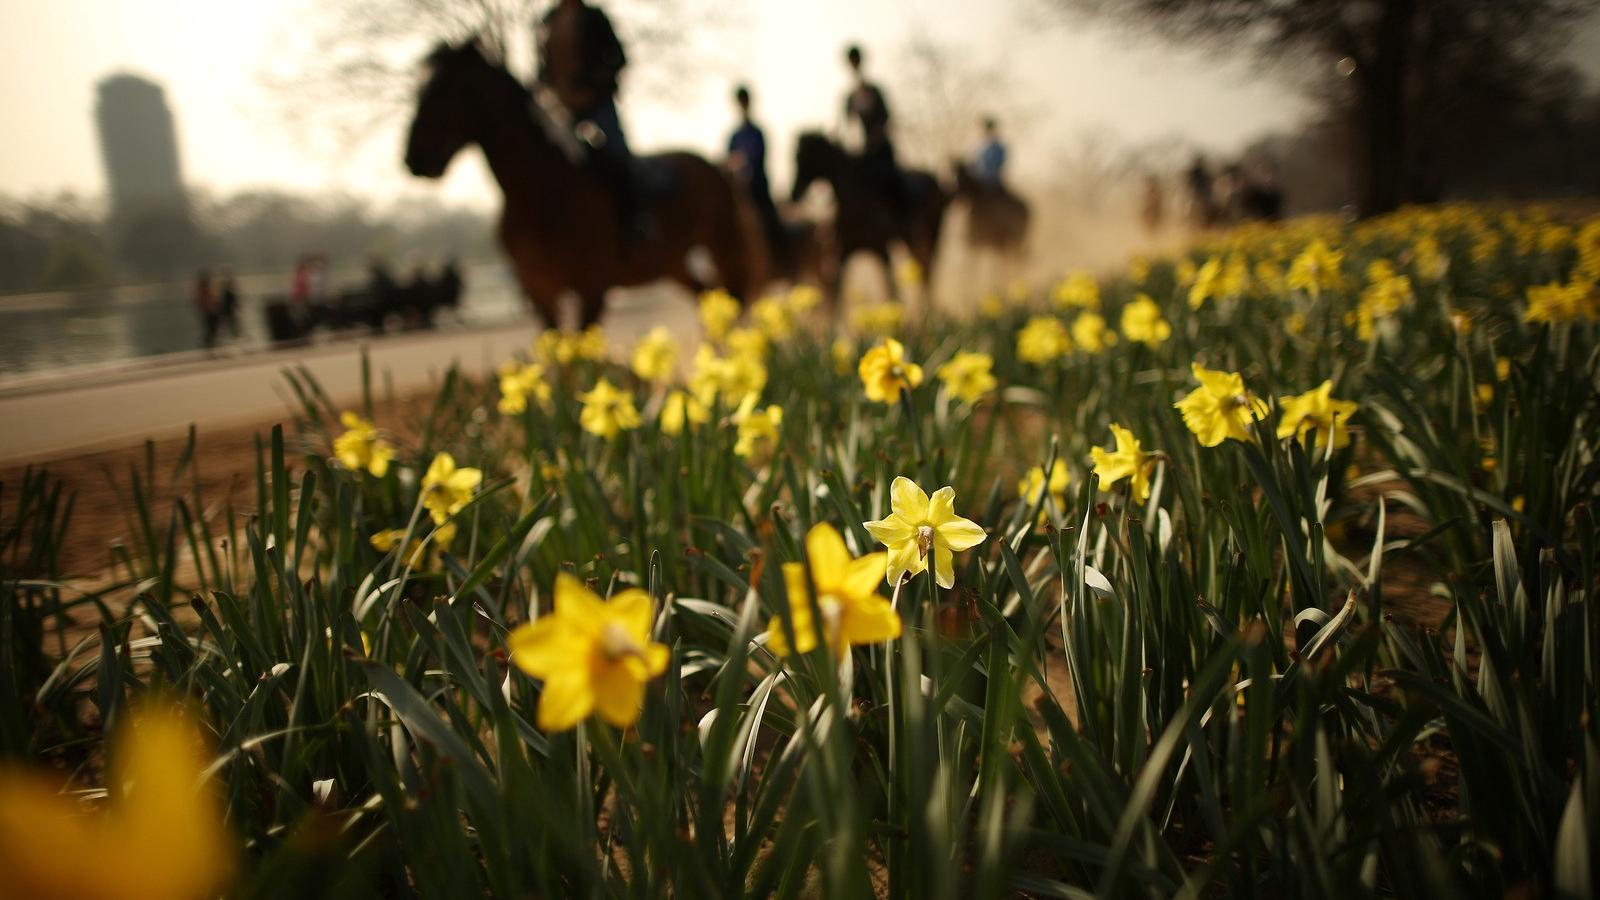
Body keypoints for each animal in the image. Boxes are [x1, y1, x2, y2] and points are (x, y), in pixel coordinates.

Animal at [403, 42, 758, 328]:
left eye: (445, 89)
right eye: (417, 88)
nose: (414, 158)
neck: (540, 193)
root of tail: (717, 166)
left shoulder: (592, 288)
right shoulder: (542, 292)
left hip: (722, 246)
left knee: (731, 302)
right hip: (673, 263)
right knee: (707, 299)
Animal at [790, 131, 940, 315]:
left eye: (805, 158)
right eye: (796, 157)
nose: (794, 194)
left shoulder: (882, 249)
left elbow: (890, 288)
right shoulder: (843, 253)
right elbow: (837, 293)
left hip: (927, 235)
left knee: (927, 271)